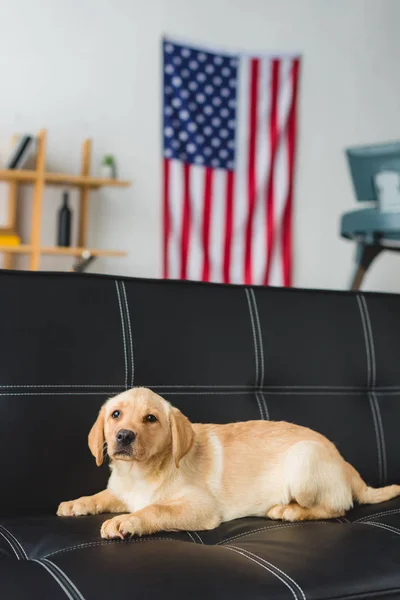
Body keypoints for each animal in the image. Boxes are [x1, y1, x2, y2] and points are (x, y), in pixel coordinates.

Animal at [58, 390, 400, 540]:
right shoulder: (119, 491)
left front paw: (125, 522)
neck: (139, 472)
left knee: (336, 507)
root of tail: (347, 467)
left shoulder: (200, 507)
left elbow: (155, 509)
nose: (124, 436)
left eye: (151, 419)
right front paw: (76, 504)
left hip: (304, 458)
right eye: (115, 414)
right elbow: (100, 496)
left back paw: (288, 510)